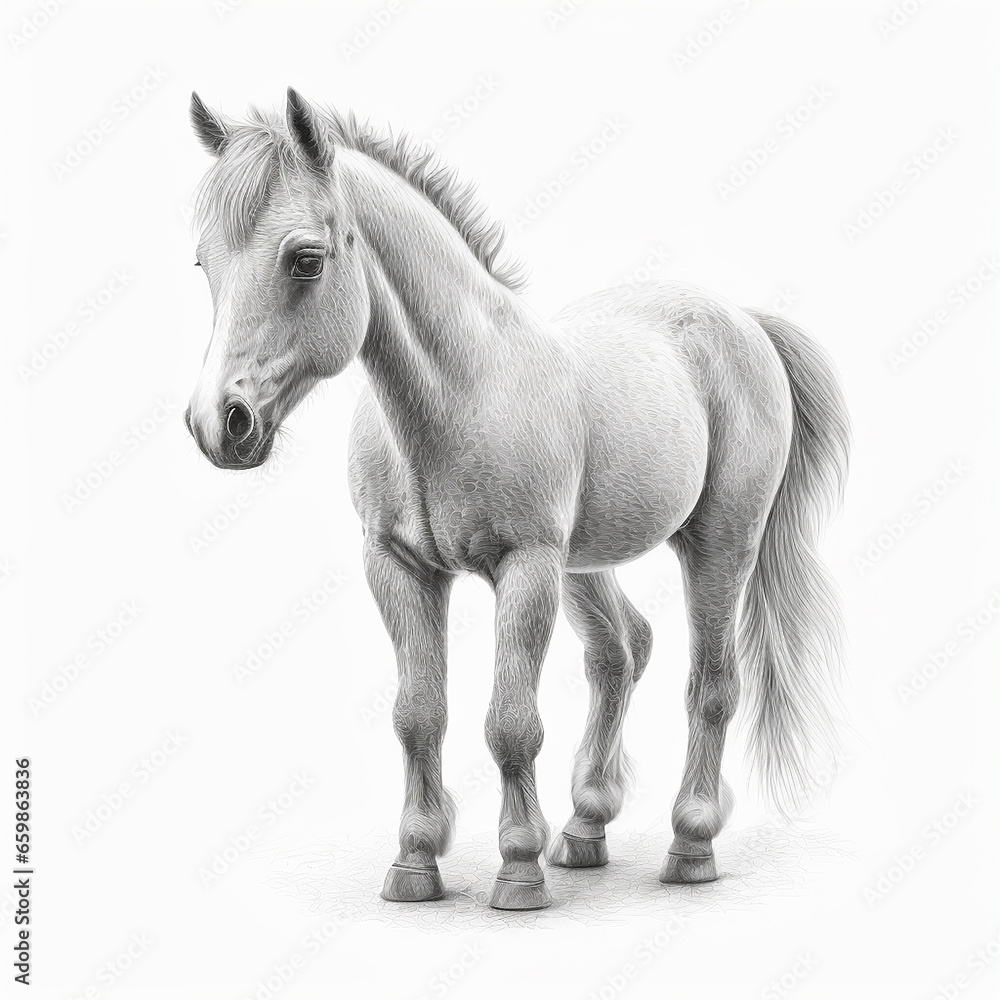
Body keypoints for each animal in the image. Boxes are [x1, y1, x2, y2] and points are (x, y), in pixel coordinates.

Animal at [184, 88, 849, 911]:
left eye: (305, 259)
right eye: (205, 261)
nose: (220, 423)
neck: (458, 391)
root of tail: (742, 321)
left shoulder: (526, 569)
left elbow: (510, 724)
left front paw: (518, 868)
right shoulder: (398, 568)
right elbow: (417, 715)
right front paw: (416, 862)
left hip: (720, 541)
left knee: (714, 684)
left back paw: (690, 845)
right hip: (585, 564)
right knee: (621, 652)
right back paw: (586, 827)